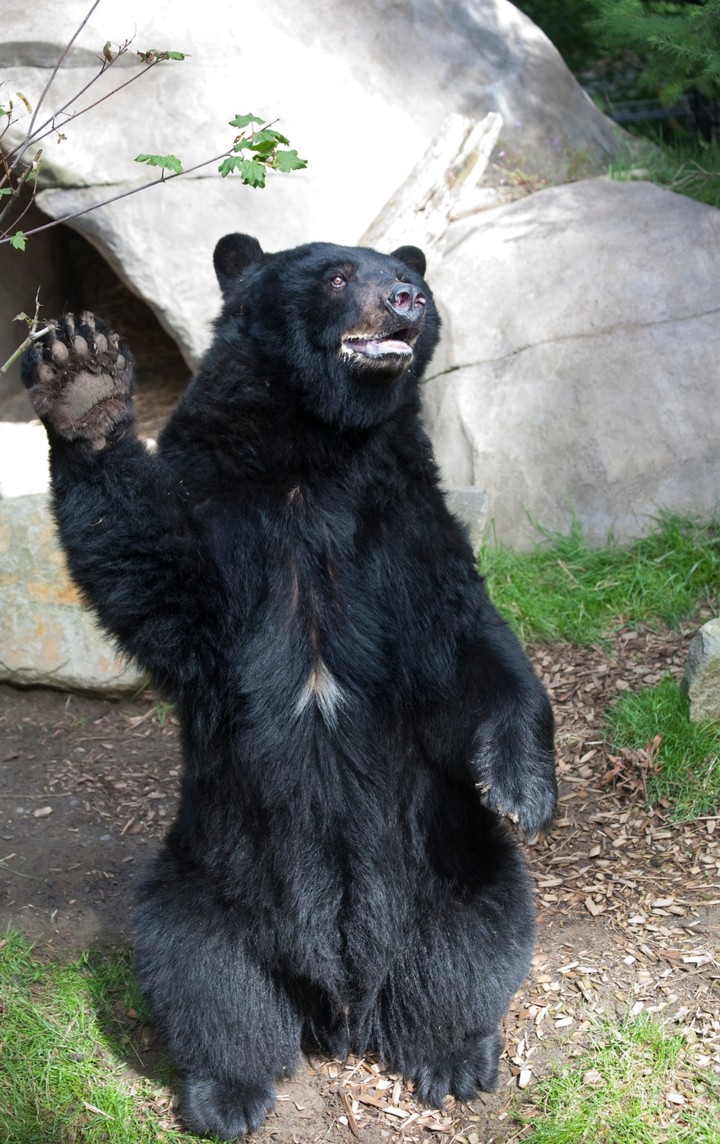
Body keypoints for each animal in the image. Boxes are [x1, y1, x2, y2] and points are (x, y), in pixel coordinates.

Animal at [21, 234, 556, 1140]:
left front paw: (521, 785)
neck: (320, 455)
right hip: (203, 883)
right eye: (339, 275)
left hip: (453, 863)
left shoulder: (405, 528)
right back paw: (226, 1092)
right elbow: (155, 571)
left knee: (476, 945)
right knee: (204, 981)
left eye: (407, 274)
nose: (407, 298)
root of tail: (341, 1004)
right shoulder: (225, 517)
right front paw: (84, 378)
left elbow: (466, 646)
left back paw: (451, 1056)